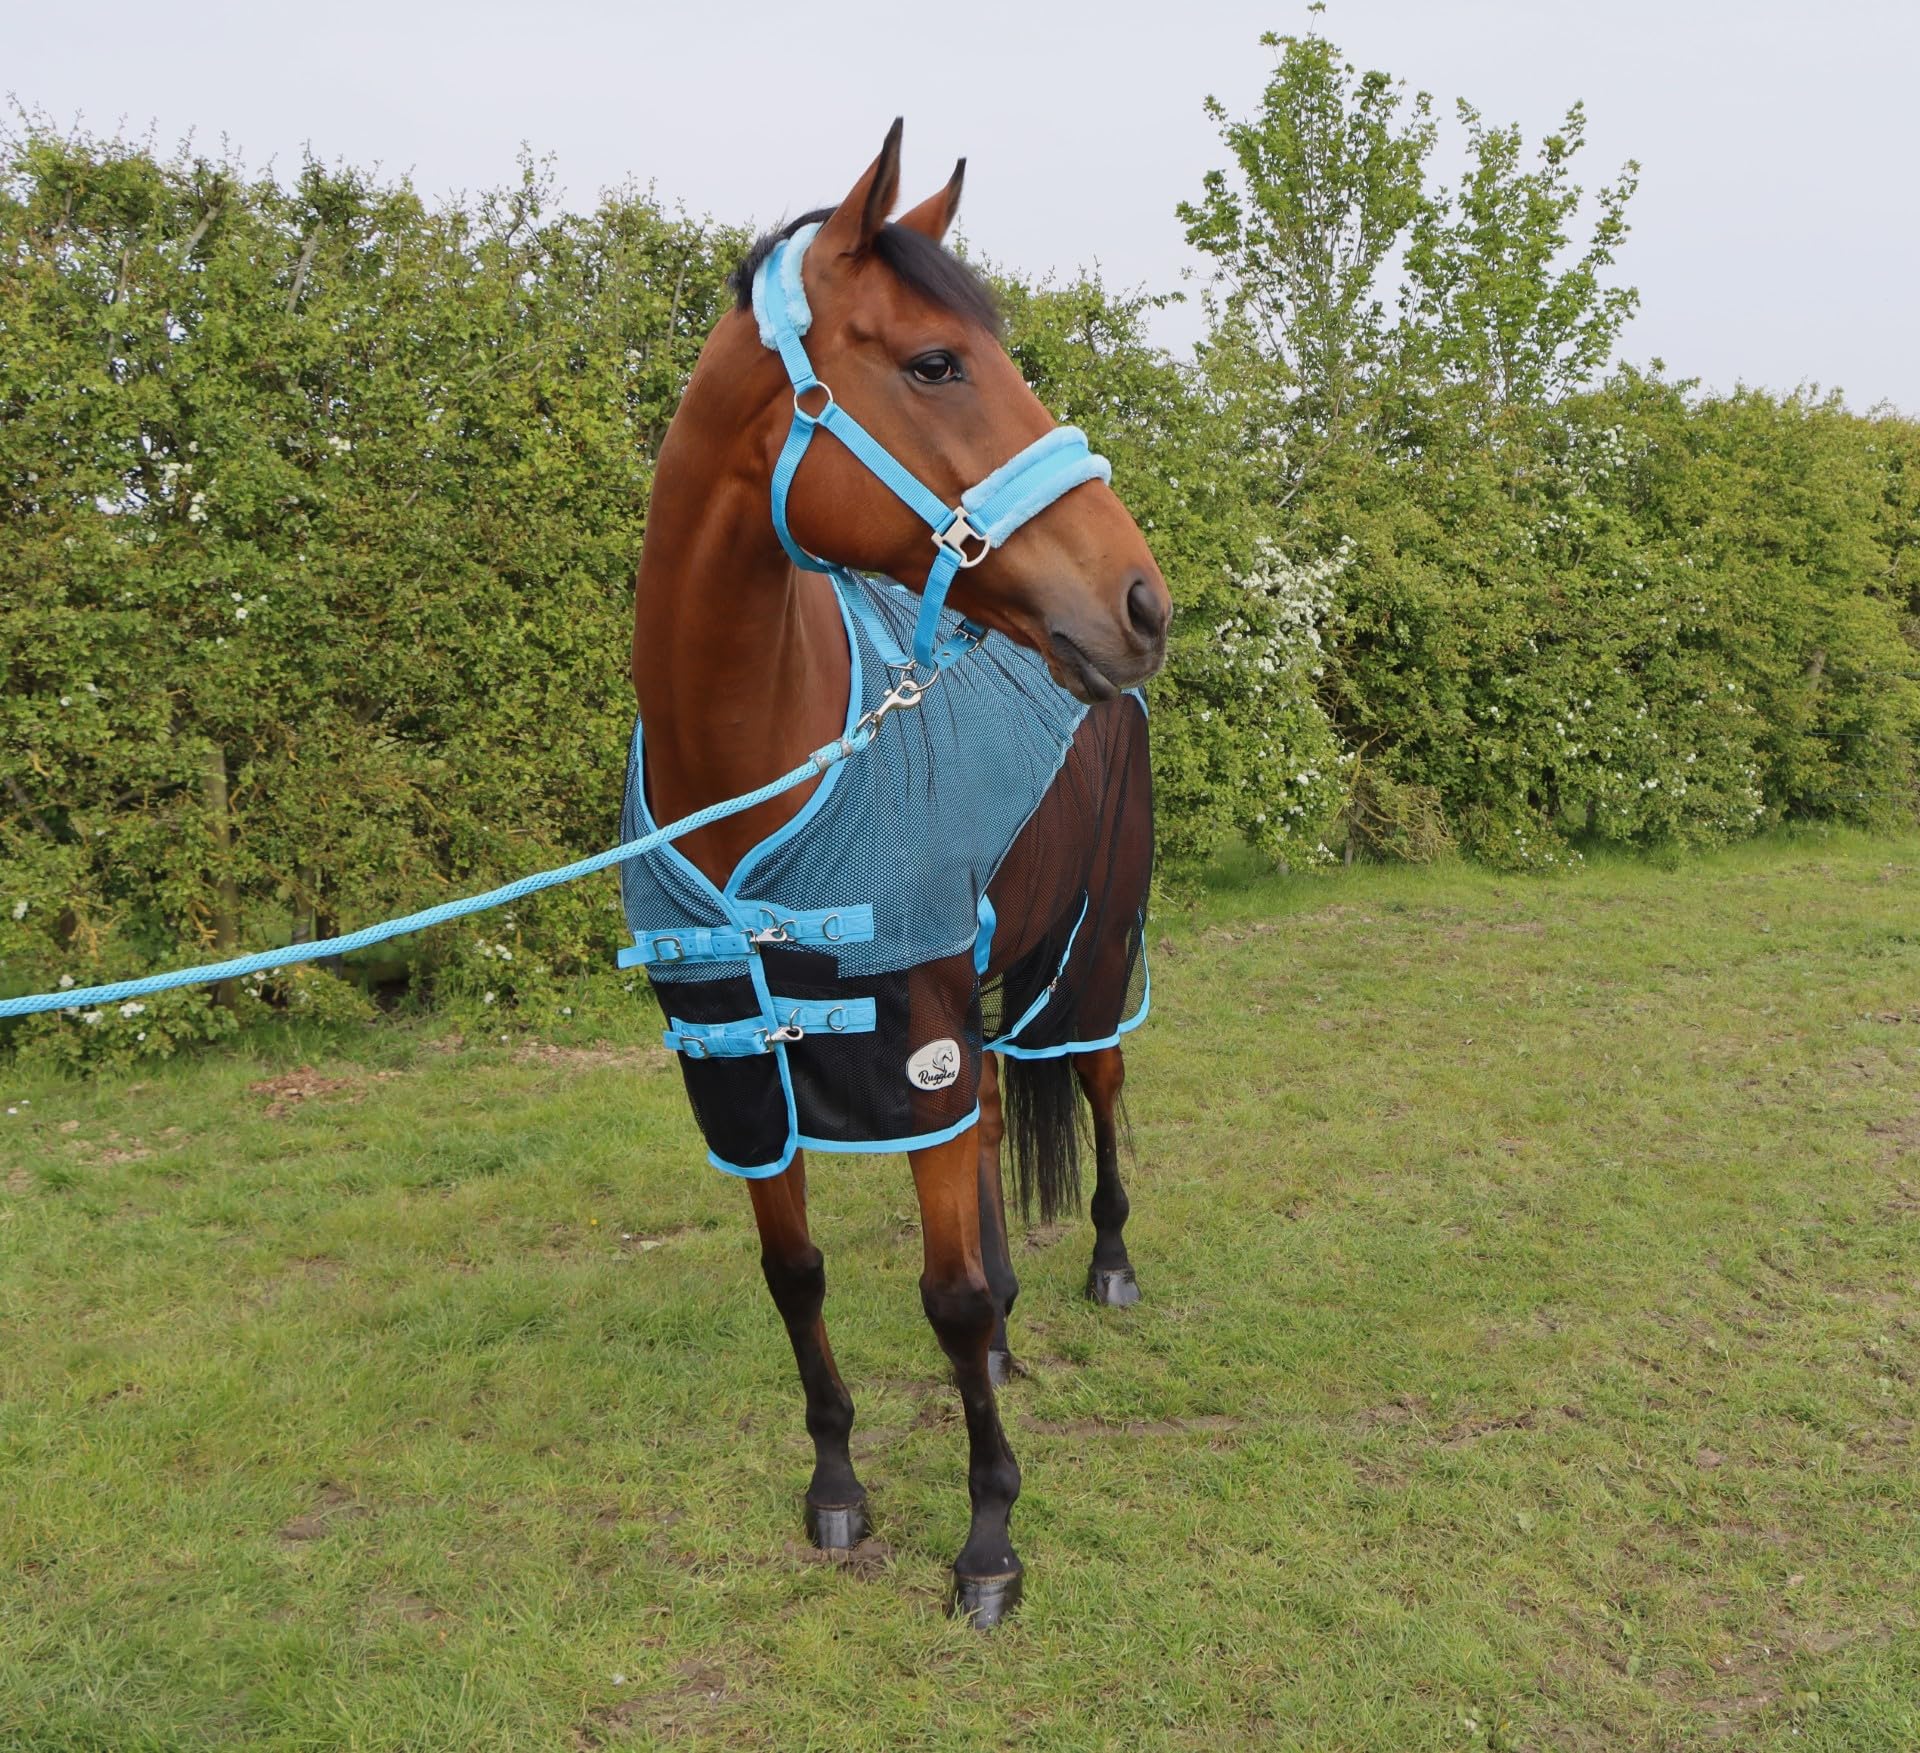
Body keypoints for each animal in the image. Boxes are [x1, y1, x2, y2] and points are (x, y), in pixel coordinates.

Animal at [623, 119, 1169, 1626]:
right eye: (935, 364)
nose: (1144, 601)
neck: (755, 762)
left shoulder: (913, 1030)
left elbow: (950, 1299)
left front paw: (987, 1540)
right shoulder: (736, 1058)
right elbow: (796, 1272)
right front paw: (836, 1485)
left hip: (1088, 959)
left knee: (1098, 1087)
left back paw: (1107, 1263)